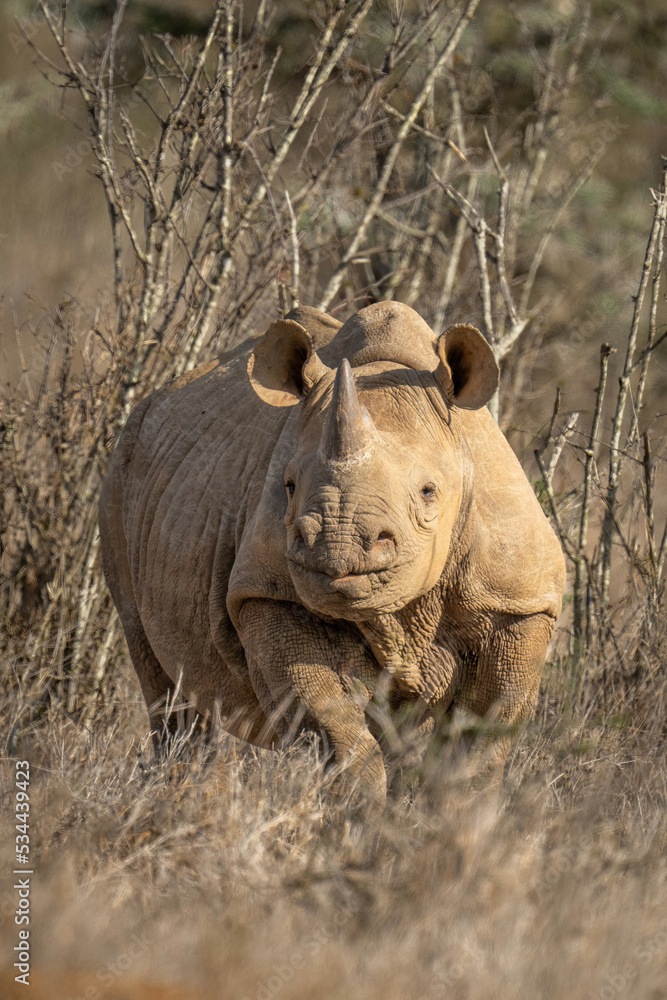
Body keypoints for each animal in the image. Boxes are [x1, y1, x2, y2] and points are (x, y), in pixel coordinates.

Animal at [99, 301, 565, 807]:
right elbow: (333, 725)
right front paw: (361, 819)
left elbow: (481, 739)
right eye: (288, 486)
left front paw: (457, 819)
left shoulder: (515, 600)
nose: (336, 547)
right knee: (169, 691)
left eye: (428, 492)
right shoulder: (266, 591)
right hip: (120, 473)